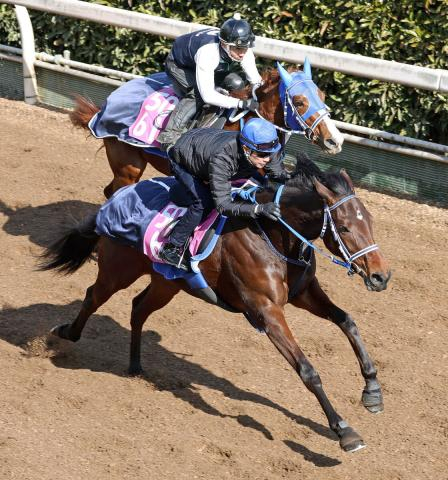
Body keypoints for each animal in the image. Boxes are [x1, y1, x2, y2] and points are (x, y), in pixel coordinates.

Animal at [41, 158, 392, 454]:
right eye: (344, 228)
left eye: (371, 221)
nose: (381, 276)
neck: (274, 234)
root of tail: (113, 201)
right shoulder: (266, 310)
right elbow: (307, 371)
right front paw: (344, 430)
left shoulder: (304, 293)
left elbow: (347, 321)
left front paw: (372, 392)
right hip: (118, 270)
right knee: (93, 296)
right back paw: (63, 334)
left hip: (167, 283)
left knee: (138, 307)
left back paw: (136, 365)